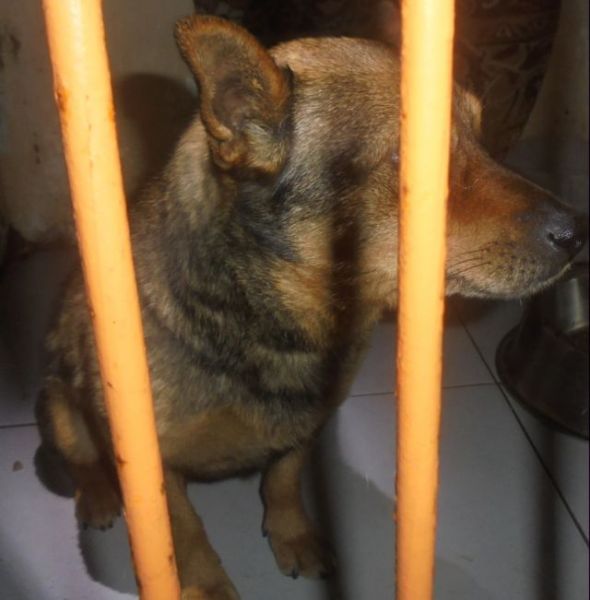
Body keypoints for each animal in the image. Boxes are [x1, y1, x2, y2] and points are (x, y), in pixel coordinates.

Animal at [36, 15, 586, 600]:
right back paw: (97, 496)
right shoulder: (154, 468)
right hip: (60, 407)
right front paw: (205, 584)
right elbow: (185, 531)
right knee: (81, 460)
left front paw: (292, 535)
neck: (269, 324)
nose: (578, 232)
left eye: (482, 138)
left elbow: (282, 480)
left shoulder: (305, 428)